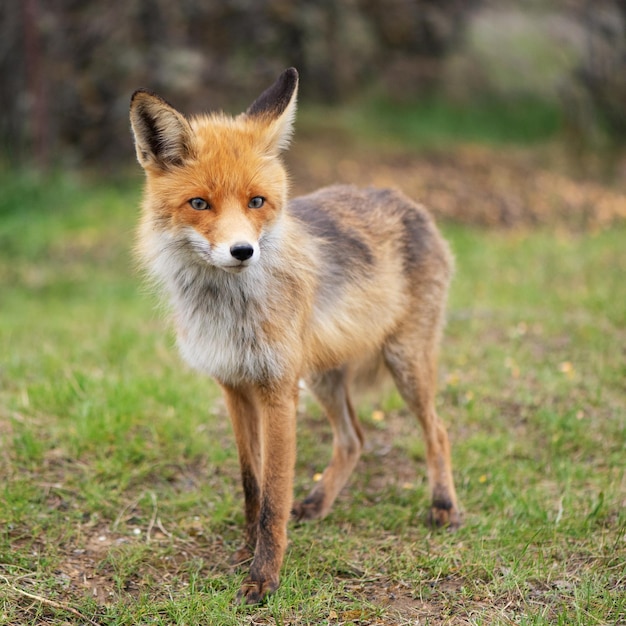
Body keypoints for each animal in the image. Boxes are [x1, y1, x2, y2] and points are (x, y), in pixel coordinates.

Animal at [129, 67, 458, 600]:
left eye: (256, 202)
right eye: (199, 203)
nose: (243, 251)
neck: (229, 312)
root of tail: (405, 198)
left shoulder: (279, 391)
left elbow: (273, 496)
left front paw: (264, 576)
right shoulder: (234, 387)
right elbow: (252, 485)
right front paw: (246, 551)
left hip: (405, 363)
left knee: (438, 431)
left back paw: (444, 504)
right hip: (324, 376)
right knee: (354, 439)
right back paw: (320, 502)